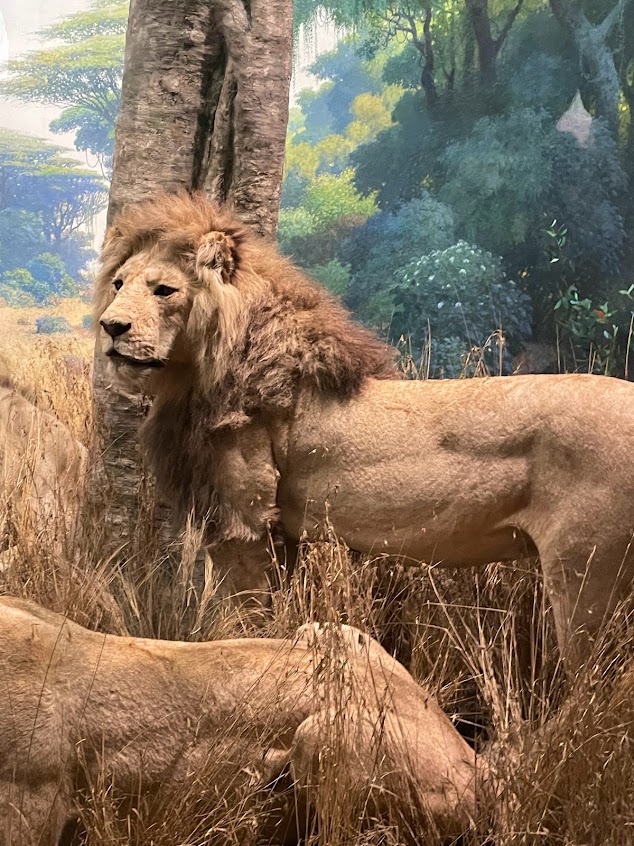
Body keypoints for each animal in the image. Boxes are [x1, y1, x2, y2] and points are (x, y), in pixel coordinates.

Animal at [96, 191, 634, 667]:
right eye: (119, 285)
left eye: (164, 290)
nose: (109, 326)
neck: (202, 372)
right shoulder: (281, 534)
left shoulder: (246, 527)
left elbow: (245, 619)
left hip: (586, 575)